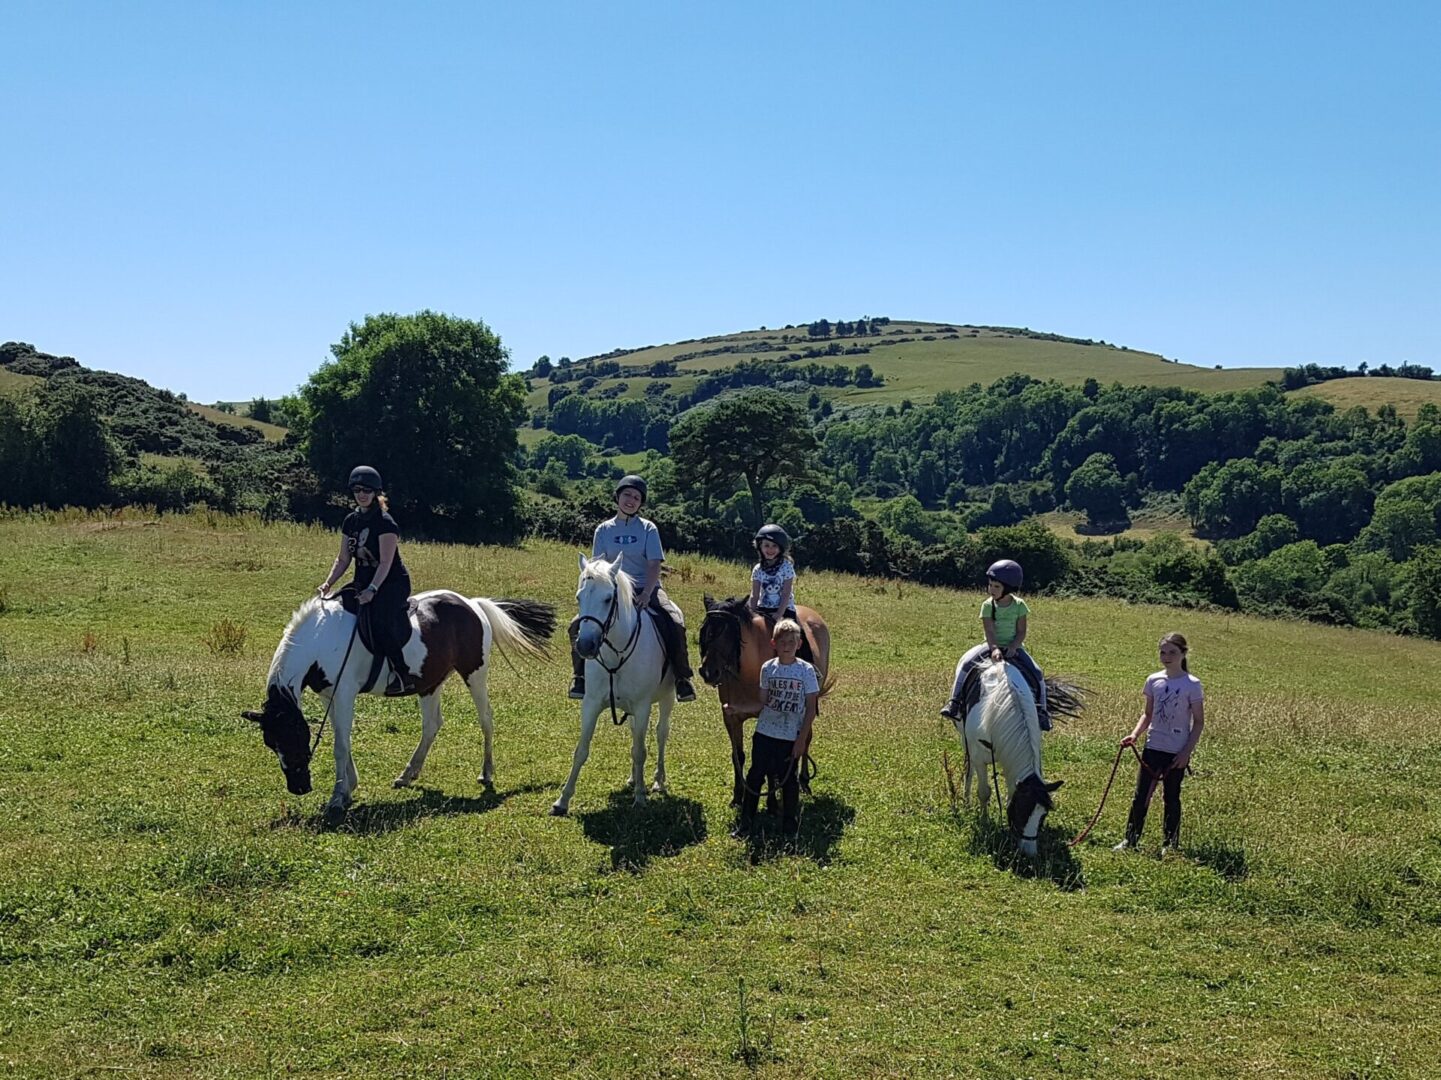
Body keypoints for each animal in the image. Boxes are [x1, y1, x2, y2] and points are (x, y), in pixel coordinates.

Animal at [242, 585, 550, 819]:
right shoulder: (329, 696)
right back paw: (408, 774)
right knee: (432, 725)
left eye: (293, 736)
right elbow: (344, 740)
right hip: (430, 683)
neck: (321, 639)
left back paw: (486, 773)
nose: (299, 788)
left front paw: (337, 798)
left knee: (485, 719)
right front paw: (349, 788)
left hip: (475, 674)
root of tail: (473, 604)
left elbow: (340, 746)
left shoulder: (344, 693)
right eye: (271, 743)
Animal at [556, 550, 680, 813]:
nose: (586, 646)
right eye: (579, 597)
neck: (617, 654)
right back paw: (634, 778)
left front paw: (640, 797)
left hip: (667, 698)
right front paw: (562, 800)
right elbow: (581, 750)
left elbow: (641, 751)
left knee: (661, 733)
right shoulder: (591, 704)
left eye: (607, 598)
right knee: (636, 735)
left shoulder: (643, 706)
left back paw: (658, 781)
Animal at [697, 594, 835, 807]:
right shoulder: (730, 717)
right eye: (705, 630)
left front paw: (771, 804)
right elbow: (738, 756)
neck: (750, 670)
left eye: (727, 632)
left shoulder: (769, 714)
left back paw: (804, 781)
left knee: (805, 739)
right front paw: (737, 797)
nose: (708, 672)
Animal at [956, 660, 1060, 853]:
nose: (1030, 853)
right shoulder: (979, 757)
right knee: (969, 769)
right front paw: (984, 822)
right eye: (1020, 811)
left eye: (1043, 816)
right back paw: (966, 801)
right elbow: (984, 792)